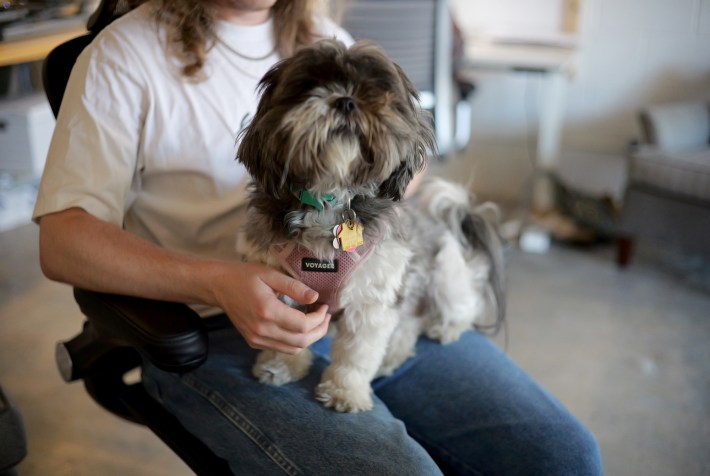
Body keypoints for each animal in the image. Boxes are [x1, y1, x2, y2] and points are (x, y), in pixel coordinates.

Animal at [236, 39, 505, 413]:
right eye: (310, 85)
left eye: (372, 91)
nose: (346, 101)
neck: (329, 198)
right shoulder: (279, 289)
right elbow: (284, 339)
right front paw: (279, 365)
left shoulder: (372, 299)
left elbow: (357, 354)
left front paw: (344, 392)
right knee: (409, 325)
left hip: (446, 279)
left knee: (464, 306)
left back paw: (446, 329)